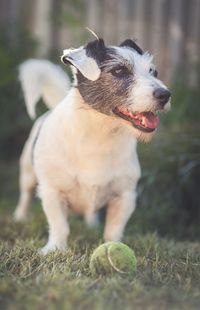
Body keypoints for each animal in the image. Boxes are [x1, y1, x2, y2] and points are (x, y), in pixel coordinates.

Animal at [13, 38, 170, 254]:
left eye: (153, 72)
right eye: (119, 71)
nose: (165, 94)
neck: (99, 134)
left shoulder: (125, 196)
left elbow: (114, 229)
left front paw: (114, 247)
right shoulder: (52, 191)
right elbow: (59, 225)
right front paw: (54, 249)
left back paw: (91, 225)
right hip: (27, 172)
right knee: (25, 195)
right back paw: (20, 216)